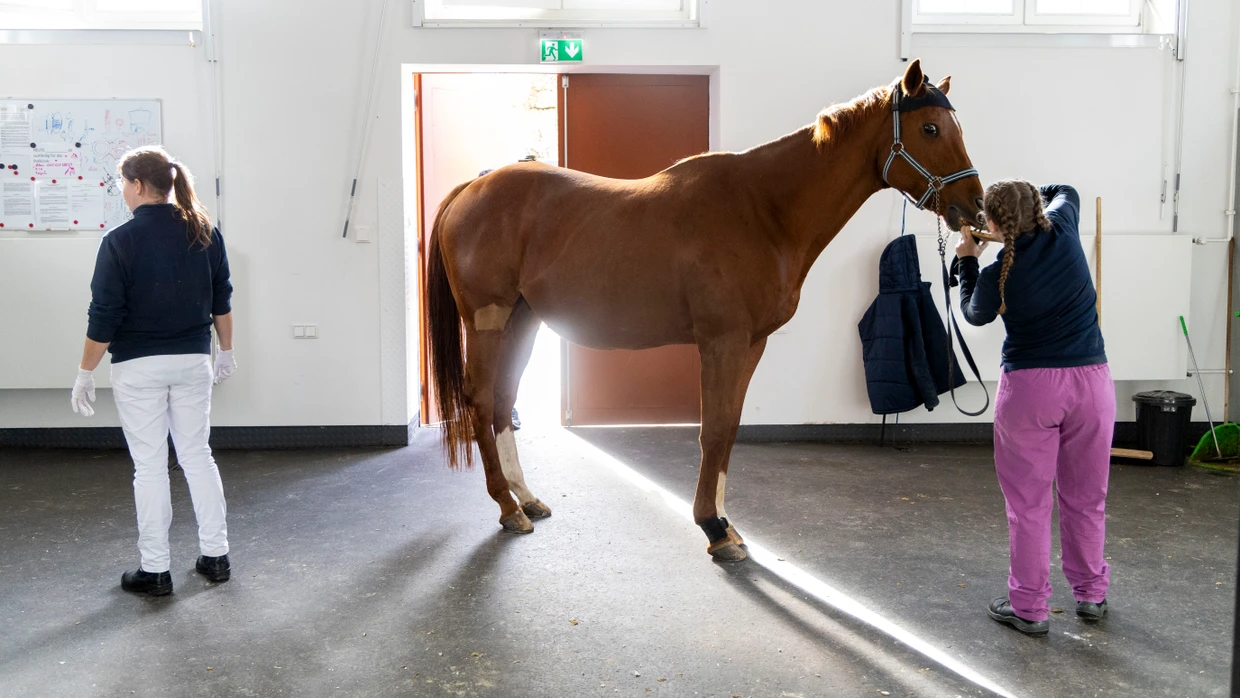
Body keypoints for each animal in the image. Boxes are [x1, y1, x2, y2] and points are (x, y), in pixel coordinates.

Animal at [424, 60, 984, 562]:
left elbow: (729, 428)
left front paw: (726, 524)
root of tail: (473, 188)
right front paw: (714, 528)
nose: (974, 208)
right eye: (930, 128)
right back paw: (506, 508)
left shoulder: (751, 344)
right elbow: (712, 429)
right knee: (480, 401)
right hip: (488, 320)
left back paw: (527, 499)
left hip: (522, 319)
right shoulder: (722, 341)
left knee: (502, 401)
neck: (762, 211)